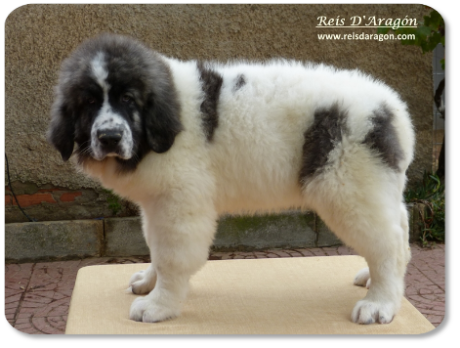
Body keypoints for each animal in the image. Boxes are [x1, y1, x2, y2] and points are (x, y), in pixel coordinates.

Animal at [48, 34, 416, 324]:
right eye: (89, 102)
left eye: (128, 99)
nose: (109, 137)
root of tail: (391, 106)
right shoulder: (158, 203)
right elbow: (154, 245)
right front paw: (149, 281)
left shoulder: (180, 202)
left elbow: (171, 257)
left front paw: (158, 305)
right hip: (375, 186)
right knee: (398, 226)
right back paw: (376, 279)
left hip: (348, 188)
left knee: (387, 243)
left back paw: (379, 303)